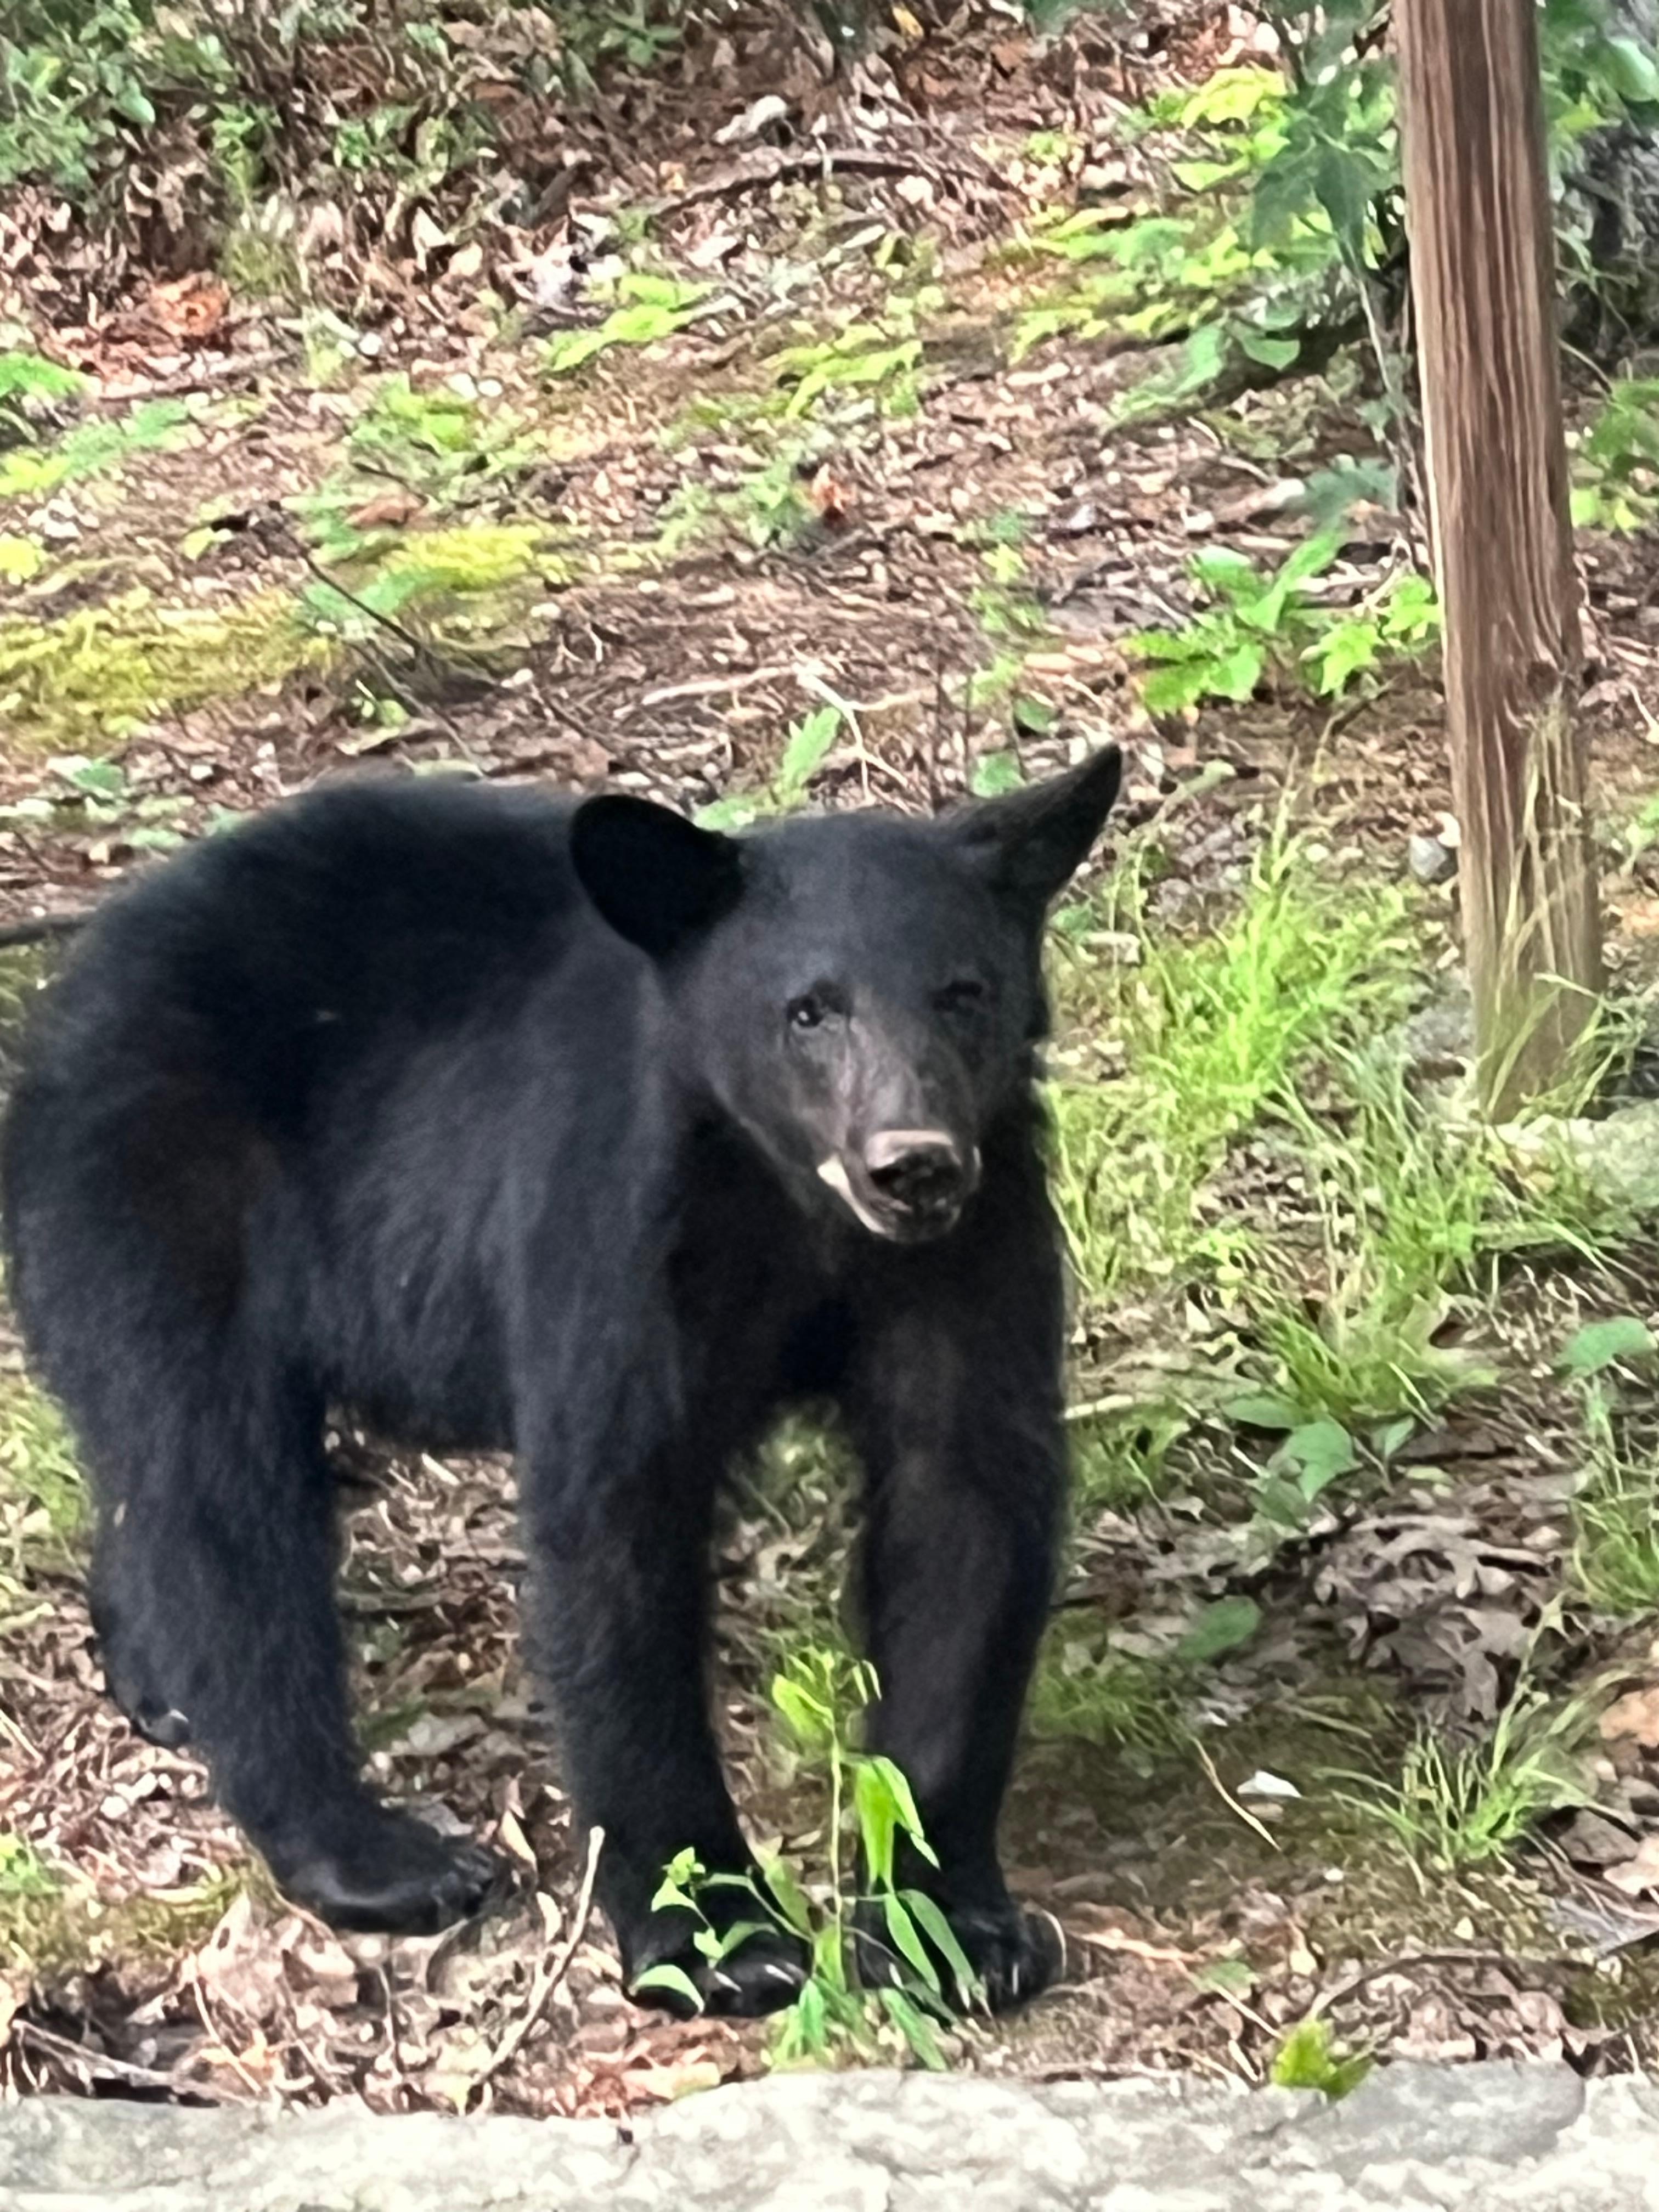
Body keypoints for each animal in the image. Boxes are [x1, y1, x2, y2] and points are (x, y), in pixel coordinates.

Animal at [0, 745, 1122, 2018]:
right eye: (808, 1009)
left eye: (964, 992)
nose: (913, 1162)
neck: (796, 1211)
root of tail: (79, 973)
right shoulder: (618, 1229)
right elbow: (615, 1534)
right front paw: (718, 1933)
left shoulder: (973, 1250)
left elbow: (963, 1504)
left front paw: (952, 1922)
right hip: (167, 1195)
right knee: (221, 1494)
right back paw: (370, 1851)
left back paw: (159, 1676)